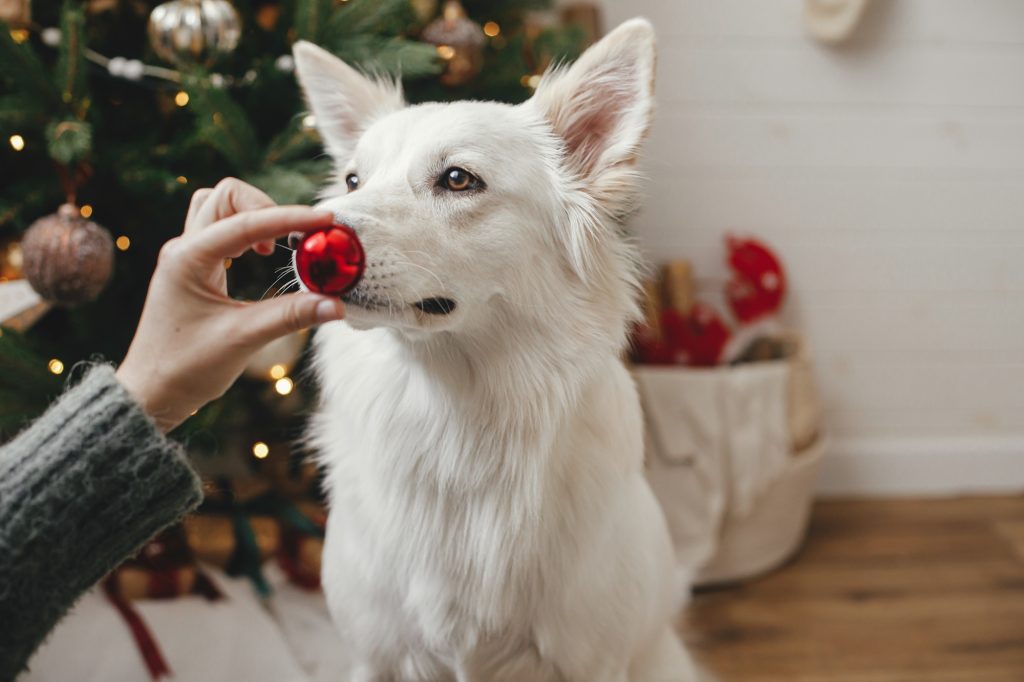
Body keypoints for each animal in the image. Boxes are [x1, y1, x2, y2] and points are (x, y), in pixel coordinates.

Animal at [292, 18, 700, 675]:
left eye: (458, 179)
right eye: (353, 180)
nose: (302, 243)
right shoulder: (377, 656)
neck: (455, 415)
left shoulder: (592, 661)